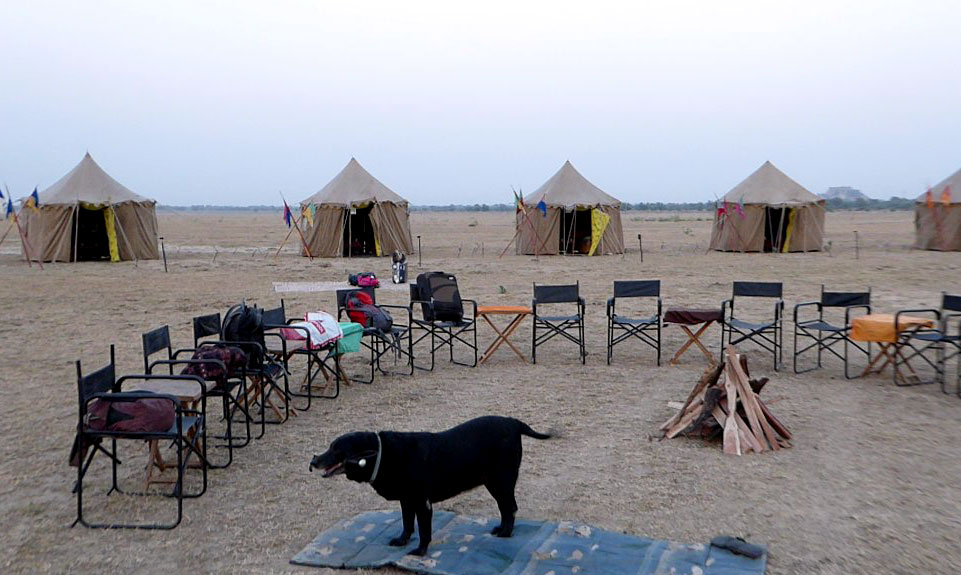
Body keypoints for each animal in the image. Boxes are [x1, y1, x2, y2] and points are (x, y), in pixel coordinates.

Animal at [308, 416, 548, 556]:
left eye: (336, 449)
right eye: (330, 446)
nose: (314, 460)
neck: (383, 455)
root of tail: (514, 422)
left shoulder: (422, 503)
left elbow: (424, 531)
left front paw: (420, 552)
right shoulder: (406, 500)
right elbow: (407, 524)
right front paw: (402, 541)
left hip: (502, 481)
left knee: (511, 508)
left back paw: (506, 533)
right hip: (494, 482)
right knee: (505, 508)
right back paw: (500, 529)